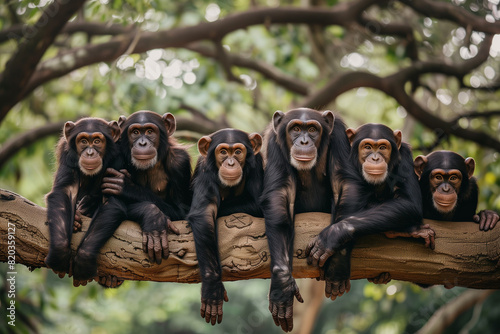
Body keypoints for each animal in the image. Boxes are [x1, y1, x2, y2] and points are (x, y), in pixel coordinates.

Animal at [46, 116, 122, 278]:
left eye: (97, 141)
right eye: (83, 141)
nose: (90, 152)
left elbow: (112, 200)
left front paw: (84, 260)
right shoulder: (66, 153)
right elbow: (64, 191)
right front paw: (60, 253)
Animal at [101, 111, 191, 264]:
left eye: (150, 131)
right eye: (135, 132)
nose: (142, 143)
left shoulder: (181, 163)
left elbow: (182, 211)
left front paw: (128, 187)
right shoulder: (116, 152)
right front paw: (153, 216)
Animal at [188, 129, 266, 326]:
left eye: (237, 152)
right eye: (223, 152)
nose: (230, 163)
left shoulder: (257, 162)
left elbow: (259, 202)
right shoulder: (205, 169)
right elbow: (203, 214)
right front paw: (212, 286)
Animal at [260, 108, 350, 332]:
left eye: (312, 129)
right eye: (294, 129)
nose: (303, 141)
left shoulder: (340, 134)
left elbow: (343, 186)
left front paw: (338, 264)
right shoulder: (273, 143)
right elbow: (280, 197)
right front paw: (282, 286)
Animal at [304, 123, 426, 302]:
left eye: (382, 147)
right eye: (367, 147)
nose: (375, 158)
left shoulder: (404, 154)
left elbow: (409, 202)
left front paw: (333, 237)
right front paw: (337, 267)